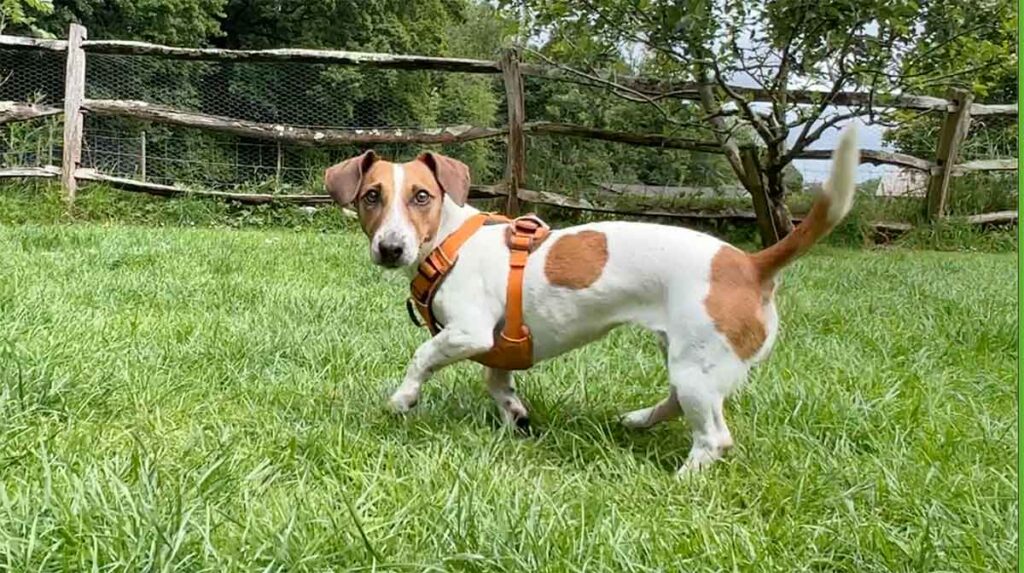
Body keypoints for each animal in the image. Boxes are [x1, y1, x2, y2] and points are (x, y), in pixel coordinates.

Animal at [325, 123, 856, 472]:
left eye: (421, 196)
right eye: (371, 196)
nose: (391, 248)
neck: (449, 242)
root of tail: (750, 264)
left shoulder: (469, 333)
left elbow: (422, 356)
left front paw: (403, 398)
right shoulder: (496, 348)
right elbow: (498, 385)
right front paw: (515, 417)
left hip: (697, 365)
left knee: (714, 438)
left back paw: (682, 478)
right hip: (689, 359)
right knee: (679, 402)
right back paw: (640, 419)